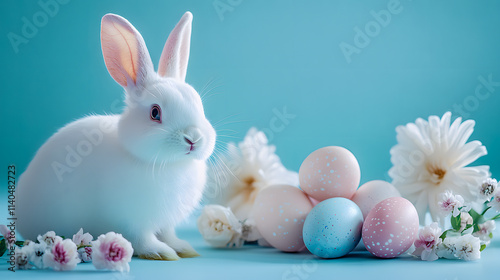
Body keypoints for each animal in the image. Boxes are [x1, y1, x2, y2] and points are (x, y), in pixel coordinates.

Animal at [15, 10, 215, 260]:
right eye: (155, 113)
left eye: (199, 105)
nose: (193, 138)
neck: (169, 164)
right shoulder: (133, 222)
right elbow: (143, 240)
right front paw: (161, 253)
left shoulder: (166, 223)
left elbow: (168, 234)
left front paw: (183, 248)